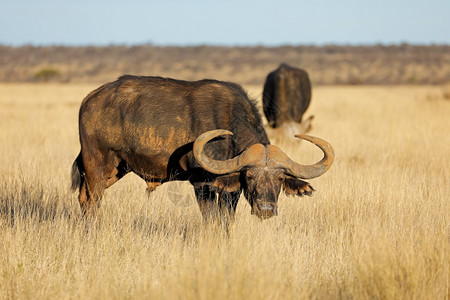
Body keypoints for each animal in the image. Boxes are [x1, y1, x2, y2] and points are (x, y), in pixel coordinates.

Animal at [70, 75, 334, 220]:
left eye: (279, 179)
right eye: (250, 176)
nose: (266, 209)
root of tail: (89, 99)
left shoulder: (230, 189)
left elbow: (226, 219)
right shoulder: (201, 184)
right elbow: (211, 218)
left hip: (117, 169)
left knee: (83, 198)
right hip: (96, 163)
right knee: (92, 201)